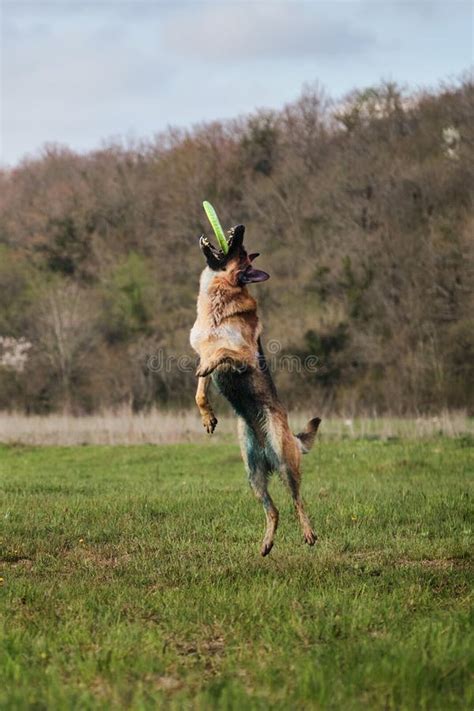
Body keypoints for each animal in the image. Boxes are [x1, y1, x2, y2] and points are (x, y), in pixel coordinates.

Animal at [191, 224, 320, 556]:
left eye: (240, 247)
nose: (239, 227)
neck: (219, 297)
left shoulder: (244, 358)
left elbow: (222, 353)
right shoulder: (201, 355)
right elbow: (200, 389)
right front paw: (207, 417)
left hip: (286, 464)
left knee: (298, 502)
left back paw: (308, 533)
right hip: (253, 475)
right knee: (274, 510)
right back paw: (267, 543)